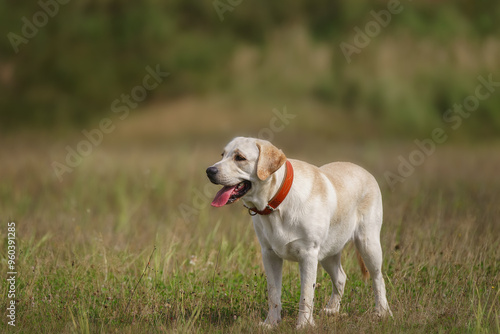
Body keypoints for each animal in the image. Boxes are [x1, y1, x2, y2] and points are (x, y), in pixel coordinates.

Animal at [205, 137, 392, 328]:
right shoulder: (269, 254)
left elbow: (306, 295)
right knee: (341, 277)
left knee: (378, 278)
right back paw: (332, 309)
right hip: (328, 252)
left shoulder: (308, 254)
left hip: (368, 244)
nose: (210, 171)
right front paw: (271, 323)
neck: (277, 203)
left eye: (239, 157)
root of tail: (364, 170)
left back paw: (382, 312)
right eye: (222, 154)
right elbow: (273, 293)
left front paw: (304, 325)